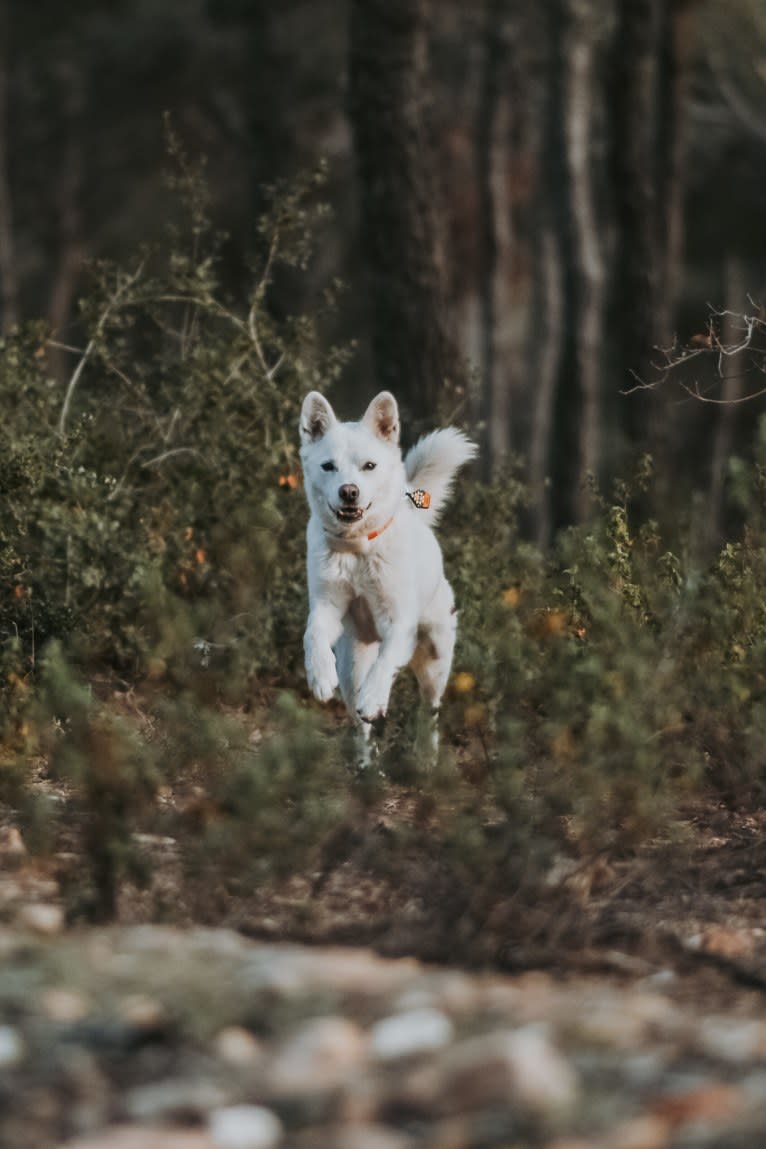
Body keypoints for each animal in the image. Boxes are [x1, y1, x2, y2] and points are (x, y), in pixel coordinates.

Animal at [298, 388, 473, 753]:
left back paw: (426, 754)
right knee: (359, 725)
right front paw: (319, 676)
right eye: (328, 466)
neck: (357, 550)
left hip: (435, 658)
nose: (349, 491)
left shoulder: (399, 621)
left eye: (369, 466)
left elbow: (386, 664)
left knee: (429, 709)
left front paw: (374, 698)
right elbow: (312, 634)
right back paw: (365, 761)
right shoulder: (326, 606)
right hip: (351, 668)